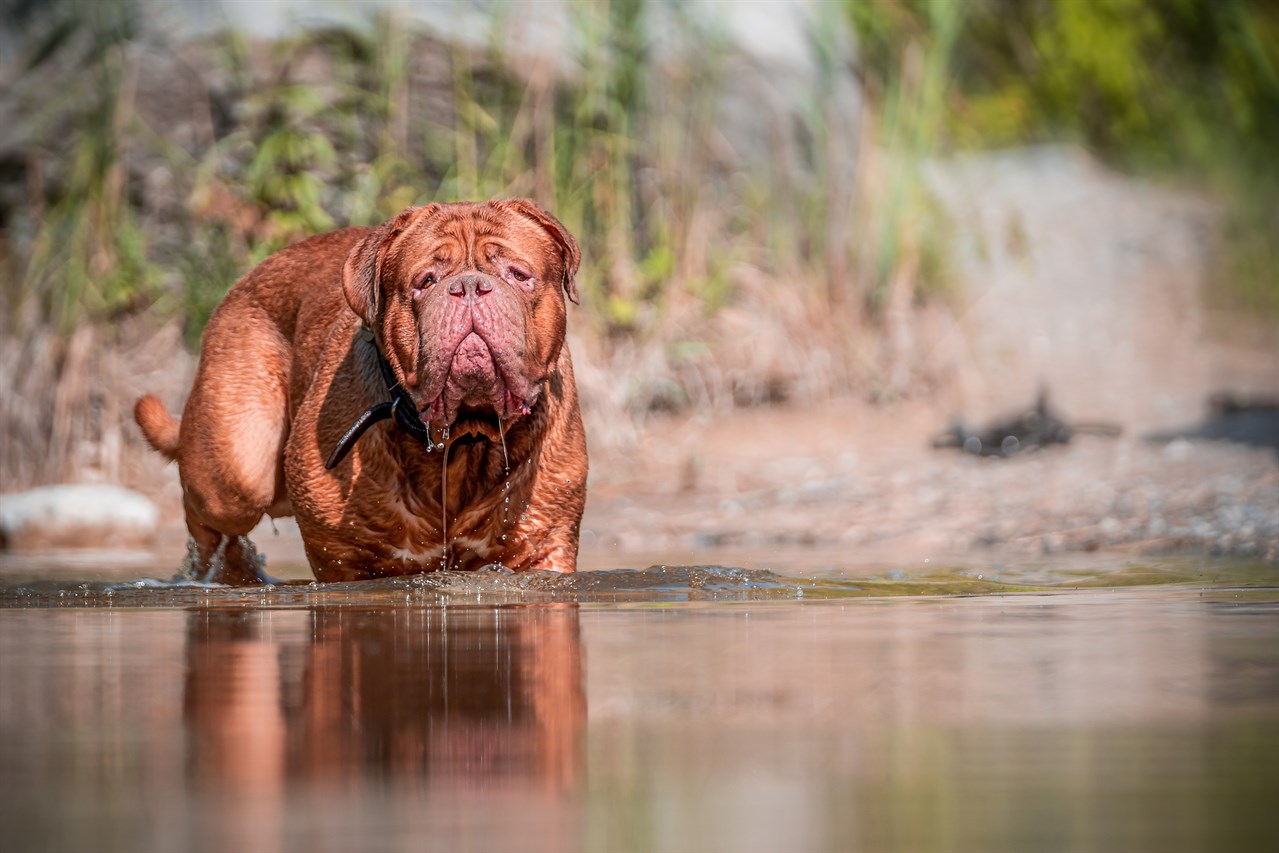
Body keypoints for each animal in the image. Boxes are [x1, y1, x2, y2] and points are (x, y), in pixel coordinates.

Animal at [133, 200, 585, 588]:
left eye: (518, 274)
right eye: (425, 281)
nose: (470, 285)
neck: (465, 435)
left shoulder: (540, 549)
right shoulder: (341, 557)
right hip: (236, 470)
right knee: (212, 515)